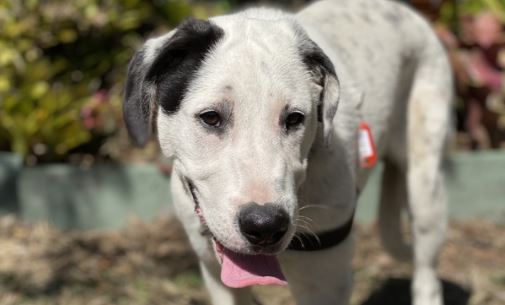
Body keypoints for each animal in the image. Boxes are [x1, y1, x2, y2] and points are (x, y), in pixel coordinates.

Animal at [123, 1, 452, 302]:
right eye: (211, 117)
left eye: (294, 118)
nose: (265, 225)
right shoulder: (219, 279)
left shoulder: (326, 282)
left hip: (425, 189)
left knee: (427, 276)